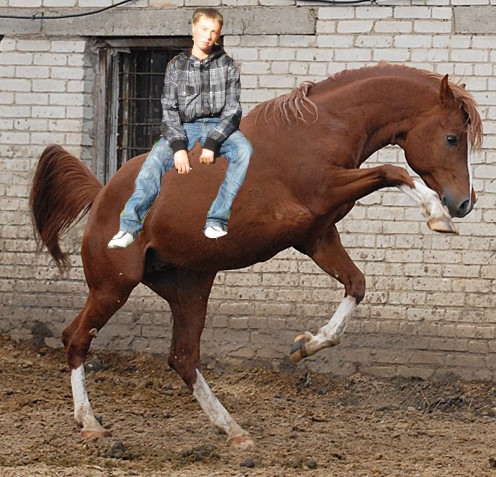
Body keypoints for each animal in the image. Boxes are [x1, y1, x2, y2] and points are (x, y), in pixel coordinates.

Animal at [30, 62, 480, 446]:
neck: (319, 129)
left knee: (183, 358)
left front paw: (306, 345)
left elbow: (356, 285)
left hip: (189, 288)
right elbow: (392, 171)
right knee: (76, 339)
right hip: (113, 286)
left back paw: (234, 431)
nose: (463, 203)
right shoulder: (324, 194)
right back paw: (90, 423)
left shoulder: (316, 235)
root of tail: (101, 194)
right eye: (452, 138)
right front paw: (437, 216)